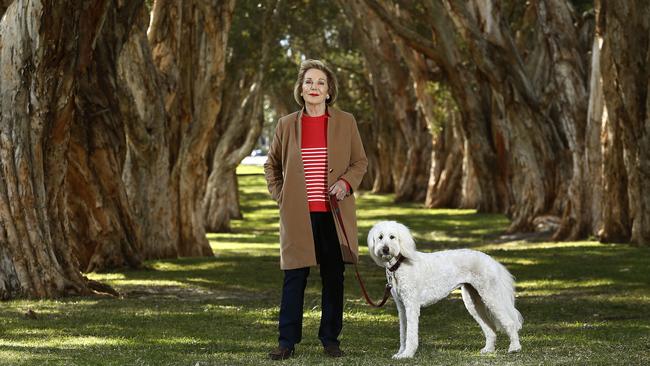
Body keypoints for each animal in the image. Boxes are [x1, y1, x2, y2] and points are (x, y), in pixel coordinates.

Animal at [364, 220, 520, 358]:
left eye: (392, 237)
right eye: (380, 237)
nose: (385, 249)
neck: (399, 265)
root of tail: (491, 260)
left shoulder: (411, 305)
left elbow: (411, 334)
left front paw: (407, 354)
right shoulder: (402, 307)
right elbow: (403, 332)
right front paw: (400, 353)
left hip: (491, 296)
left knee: (510, 322)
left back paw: (515, 348)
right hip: (473, 302)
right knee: (490, 329)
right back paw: (488, 350)